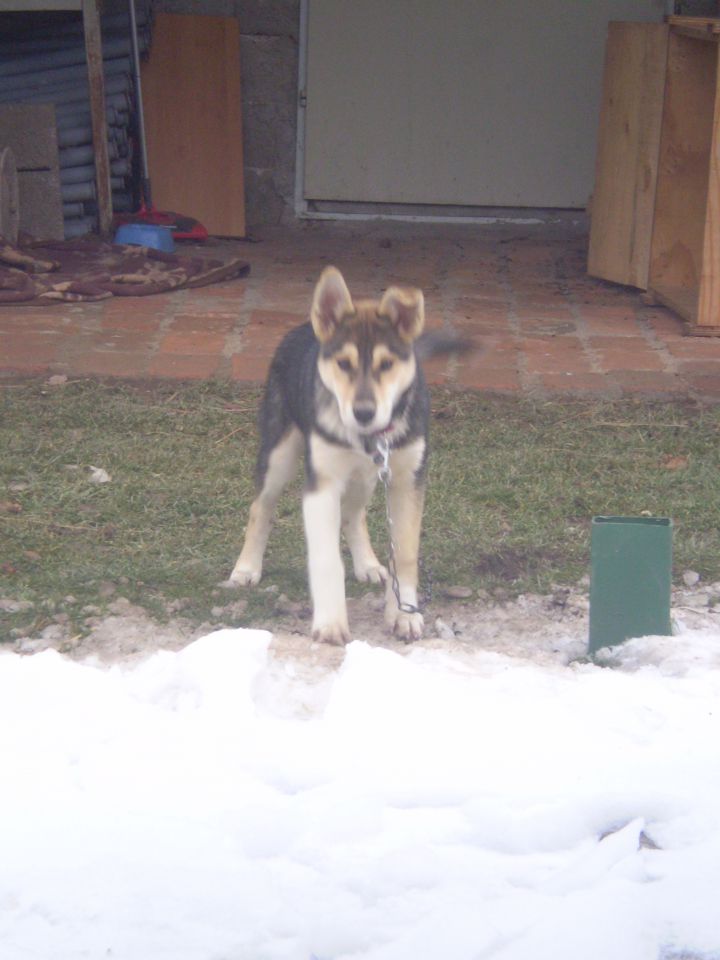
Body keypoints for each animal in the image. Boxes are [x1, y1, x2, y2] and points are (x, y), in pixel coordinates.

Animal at [232, 264, 444, 644]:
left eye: (387, 364)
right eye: (344, 363)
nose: (363, 412)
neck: (368, 436)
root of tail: (304, 326)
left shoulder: (408, 479)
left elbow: (404, 554)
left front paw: (404, 613)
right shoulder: (322, 484)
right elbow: (326, 558)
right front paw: (330, 622)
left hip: (366, 476)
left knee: (354, 514)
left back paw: (368, 564)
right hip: (279, 454)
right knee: (261, 507)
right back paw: (246, 567)